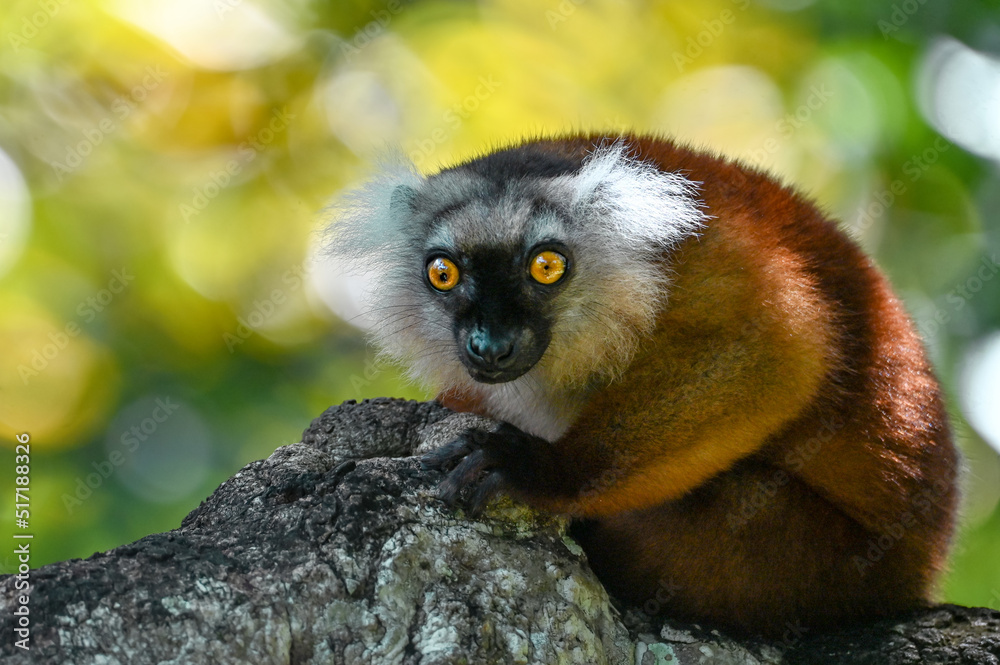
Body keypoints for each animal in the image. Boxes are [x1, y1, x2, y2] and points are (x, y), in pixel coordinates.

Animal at [325, 133, 959, 638]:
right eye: (443, 273)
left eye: (546, 267)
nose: (490, 345)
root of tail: (918, 572)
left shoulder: (703, 264)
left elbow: (779, 348)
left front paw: (540, 469)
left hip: (817, 567)